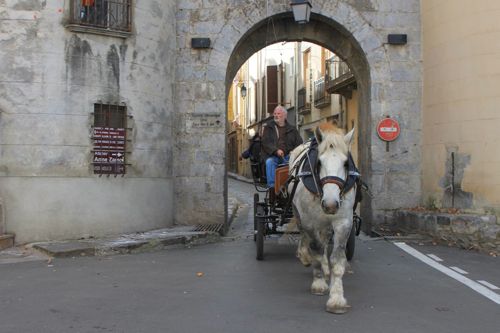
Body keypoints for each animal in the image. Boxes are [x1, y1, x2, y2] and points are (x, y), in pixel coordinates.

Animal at [288, 120, 358, 312]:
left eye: (346, 163)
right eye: (319, 162)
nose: (331, 204)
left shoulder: (344, 222)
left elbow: (337, 259)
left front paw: (337, 297)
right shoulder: (309, 222)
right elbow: (317, 249)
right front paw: (318, 283)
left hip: (326, 222)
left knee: (326, 237)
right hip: (298, 213)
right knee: (306, 236)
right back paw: (305, 256)